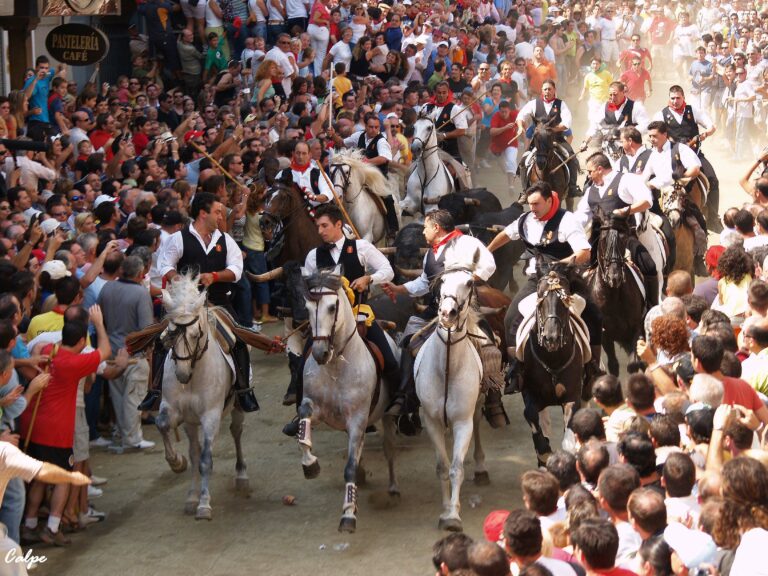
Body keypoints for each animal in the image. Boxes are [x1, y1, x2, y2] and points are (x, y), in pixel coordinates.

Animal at [154, 272, 250, 520]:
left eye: (196, 334)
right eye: (170, 332)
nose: (181, 374)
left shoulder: (210, 416)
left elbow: (206, 460)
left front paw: (204, 505)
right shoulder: (177, 411)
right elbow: (163, 426)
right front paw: (177, 464)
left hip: (237, 406)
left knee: (236, 432)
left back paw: (241, 475)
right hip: (191, 421)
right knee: (194, 450)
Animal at [296, 268, 400, 532]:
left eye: (332, 307)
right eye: (307, 307)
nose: (320, 353)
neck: (336, 363)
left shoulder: (357, 419)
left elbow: (350, 468)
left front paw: (349, 515)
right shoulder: (317, 408)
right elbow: (303, 427)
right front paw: (310, 464)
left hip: (386, 417)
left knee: (389, 450)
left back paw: (393, 488)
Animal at [416, 254, 488, 532]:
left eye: (469, 282)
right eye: (442, 280)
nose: (447, 313)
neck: (446, 366)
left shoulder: (462, 422)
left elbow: (456, 468)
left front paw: (452, 516)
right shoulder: (431, 421)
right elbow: (442, 467)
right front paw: (445, 507)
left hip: (477, 407)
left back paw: (481, 467)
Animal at [520, 260, 584, 464]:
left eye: (564, 300)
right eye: (540, 297)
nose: (551, 338)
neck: (553, 359)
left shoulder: (573, 396)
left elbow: (570, 434)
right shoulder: (530, 392)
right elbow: (530, 414)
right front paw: (544, 451)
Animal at [584, 209, 644, 376]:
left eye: (623, 239)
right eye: (603, 239)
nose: (614, 277)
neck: (613, 296)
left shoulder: (636, 328)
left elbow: (633, 364)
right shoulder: (606, 336)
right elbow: (613, 365)